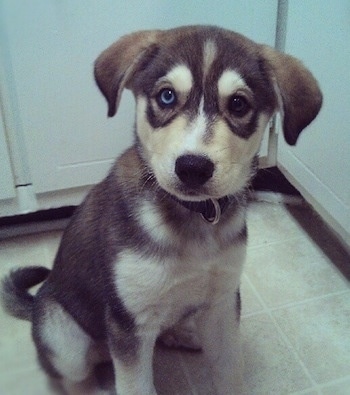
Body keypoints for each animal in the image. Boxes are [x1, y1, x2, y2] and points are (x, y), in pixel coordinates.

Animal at [1, 26, 322, 394]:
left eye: (239, 104)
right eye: (167, 96)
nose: (193, 167)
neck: (195, 218)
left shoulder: (223, 301)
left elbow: (230, 370)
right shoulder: (129, 323)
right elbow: (136, 385)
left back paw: (185, 334)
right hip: (63, 334)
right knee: (73, 375)